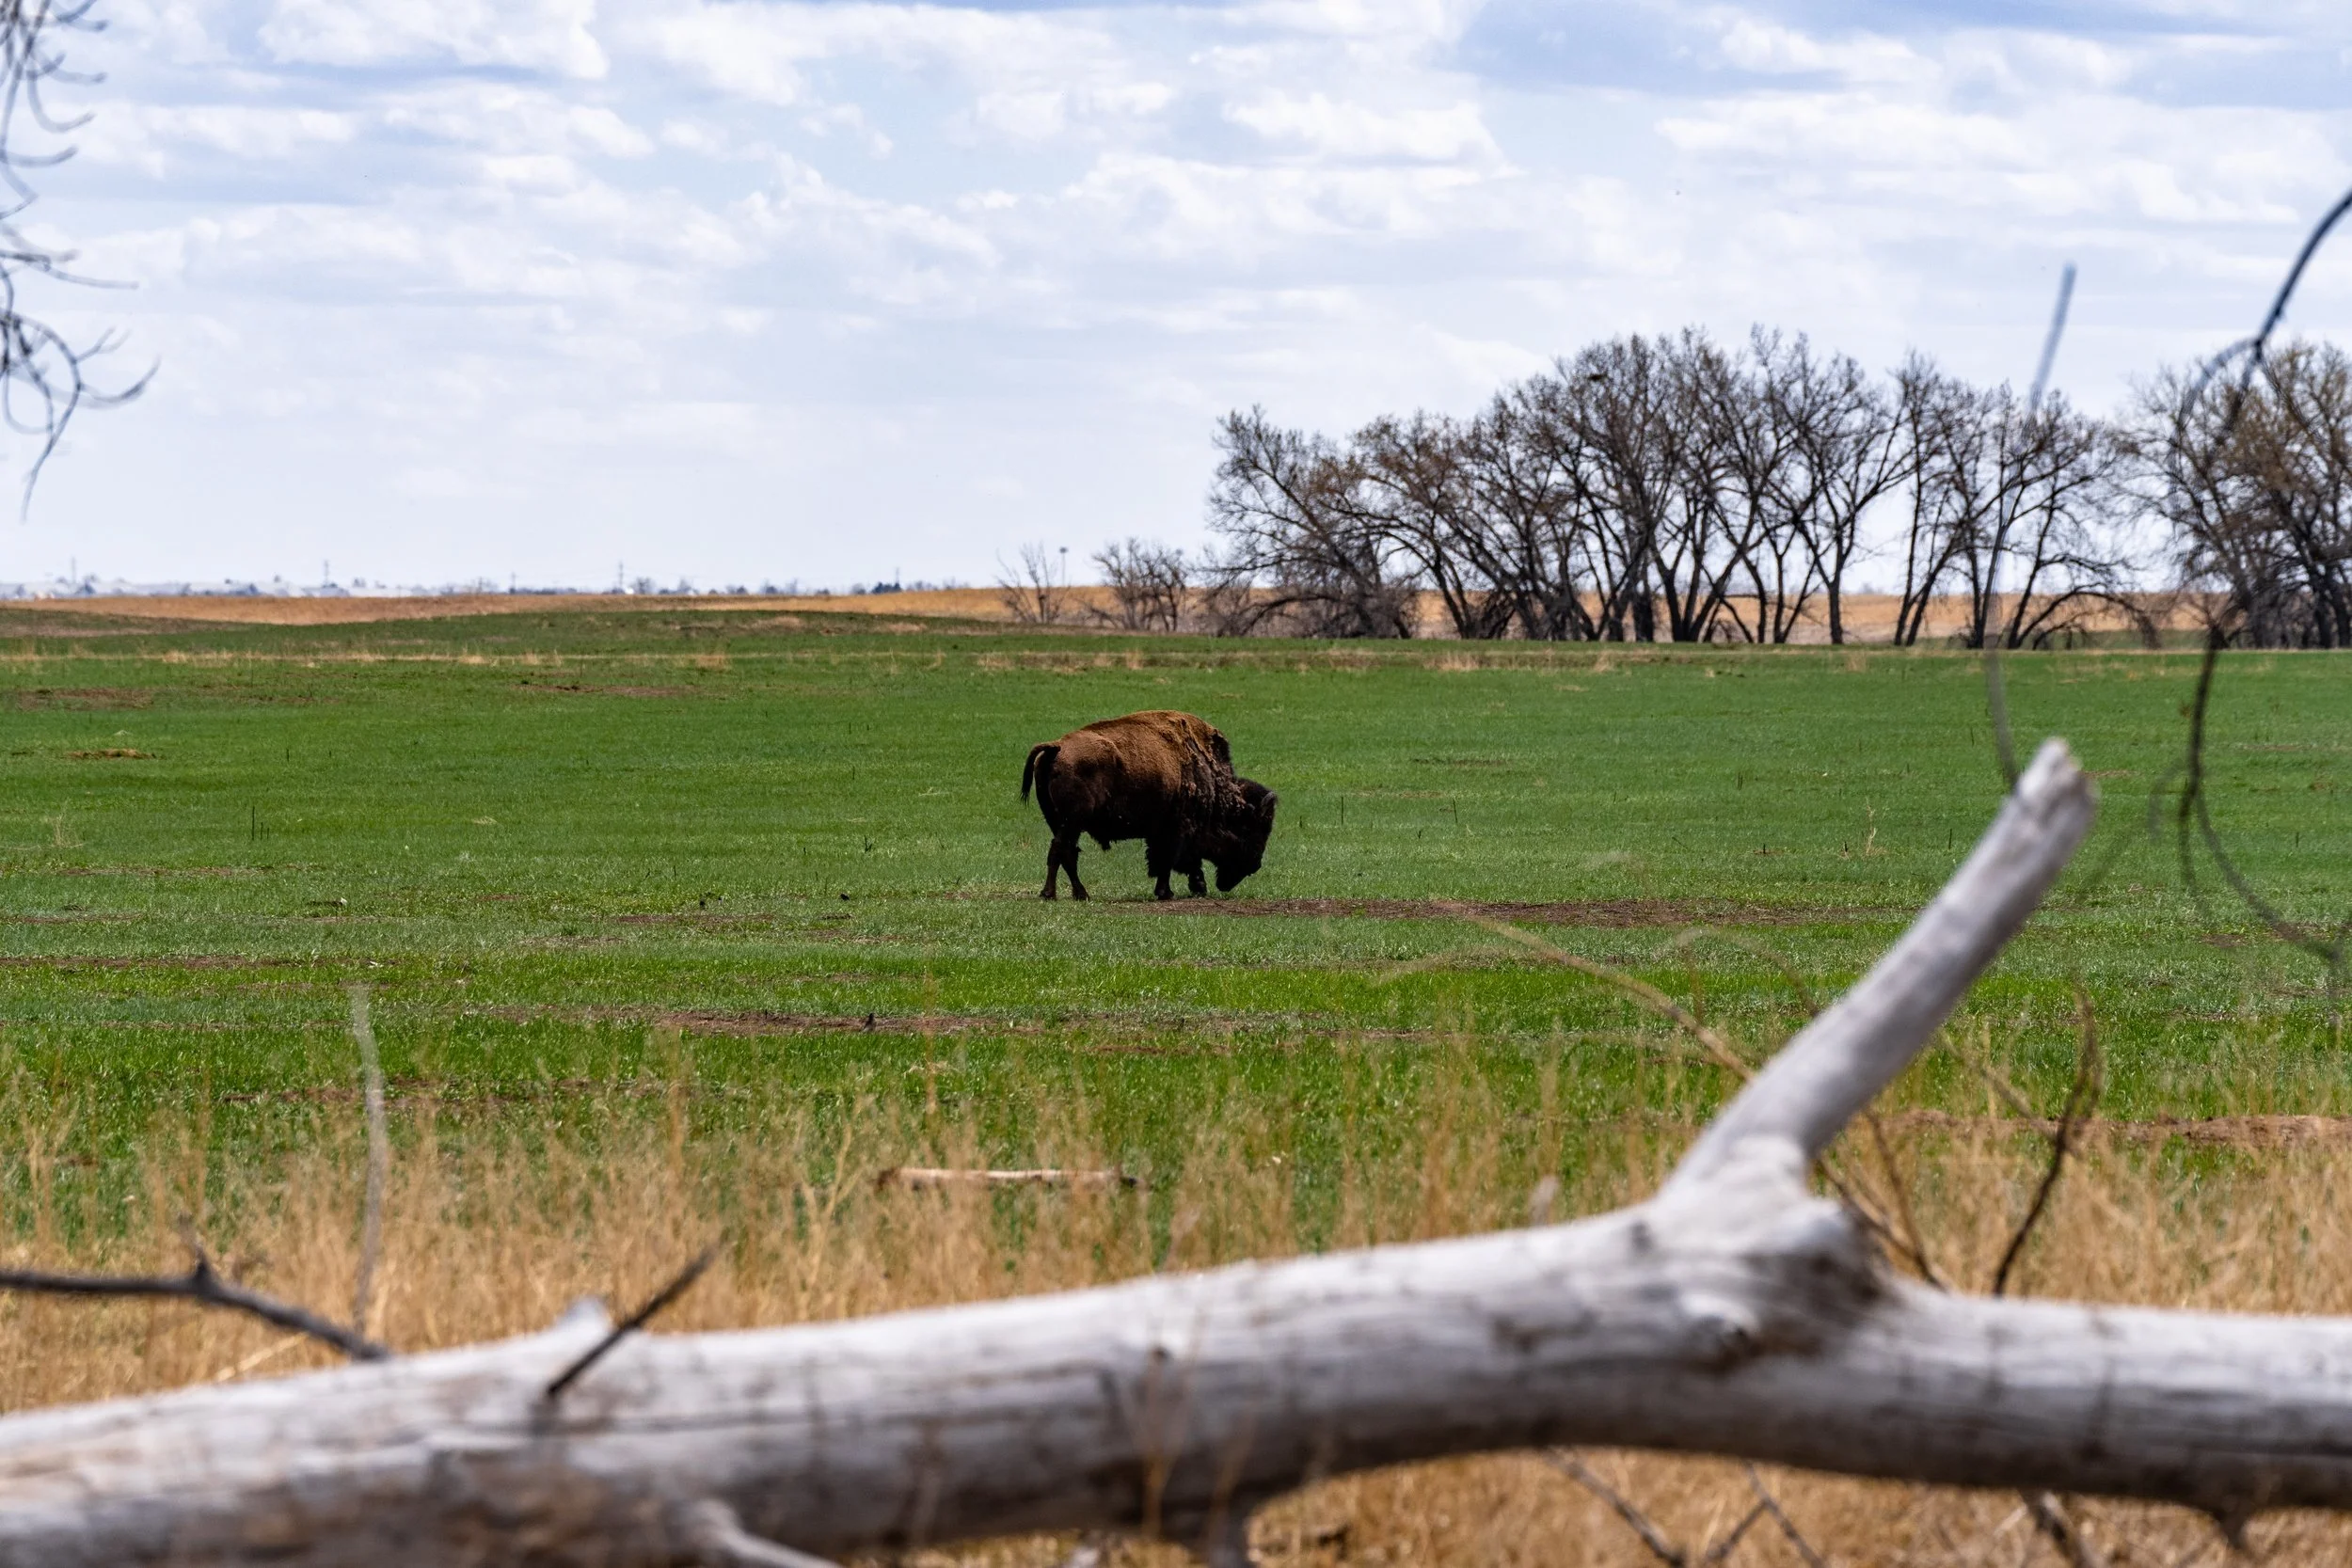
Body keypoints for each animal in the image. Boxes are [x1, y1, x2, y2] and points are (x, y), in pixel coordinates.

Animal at [1019, 710, 1277, 901]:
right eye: (1253, 830)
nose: (1255, 865)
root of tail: (1057, 747)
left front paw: (1193, 888)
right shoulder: (1177, 830)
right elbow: (1169, 860)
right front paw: (1168, 892)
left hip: (1059, 821)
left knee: (1068, 853)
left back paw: (1079, 894)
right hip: (1072, 821)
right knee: (1061, 850)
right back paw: (1053, 894)